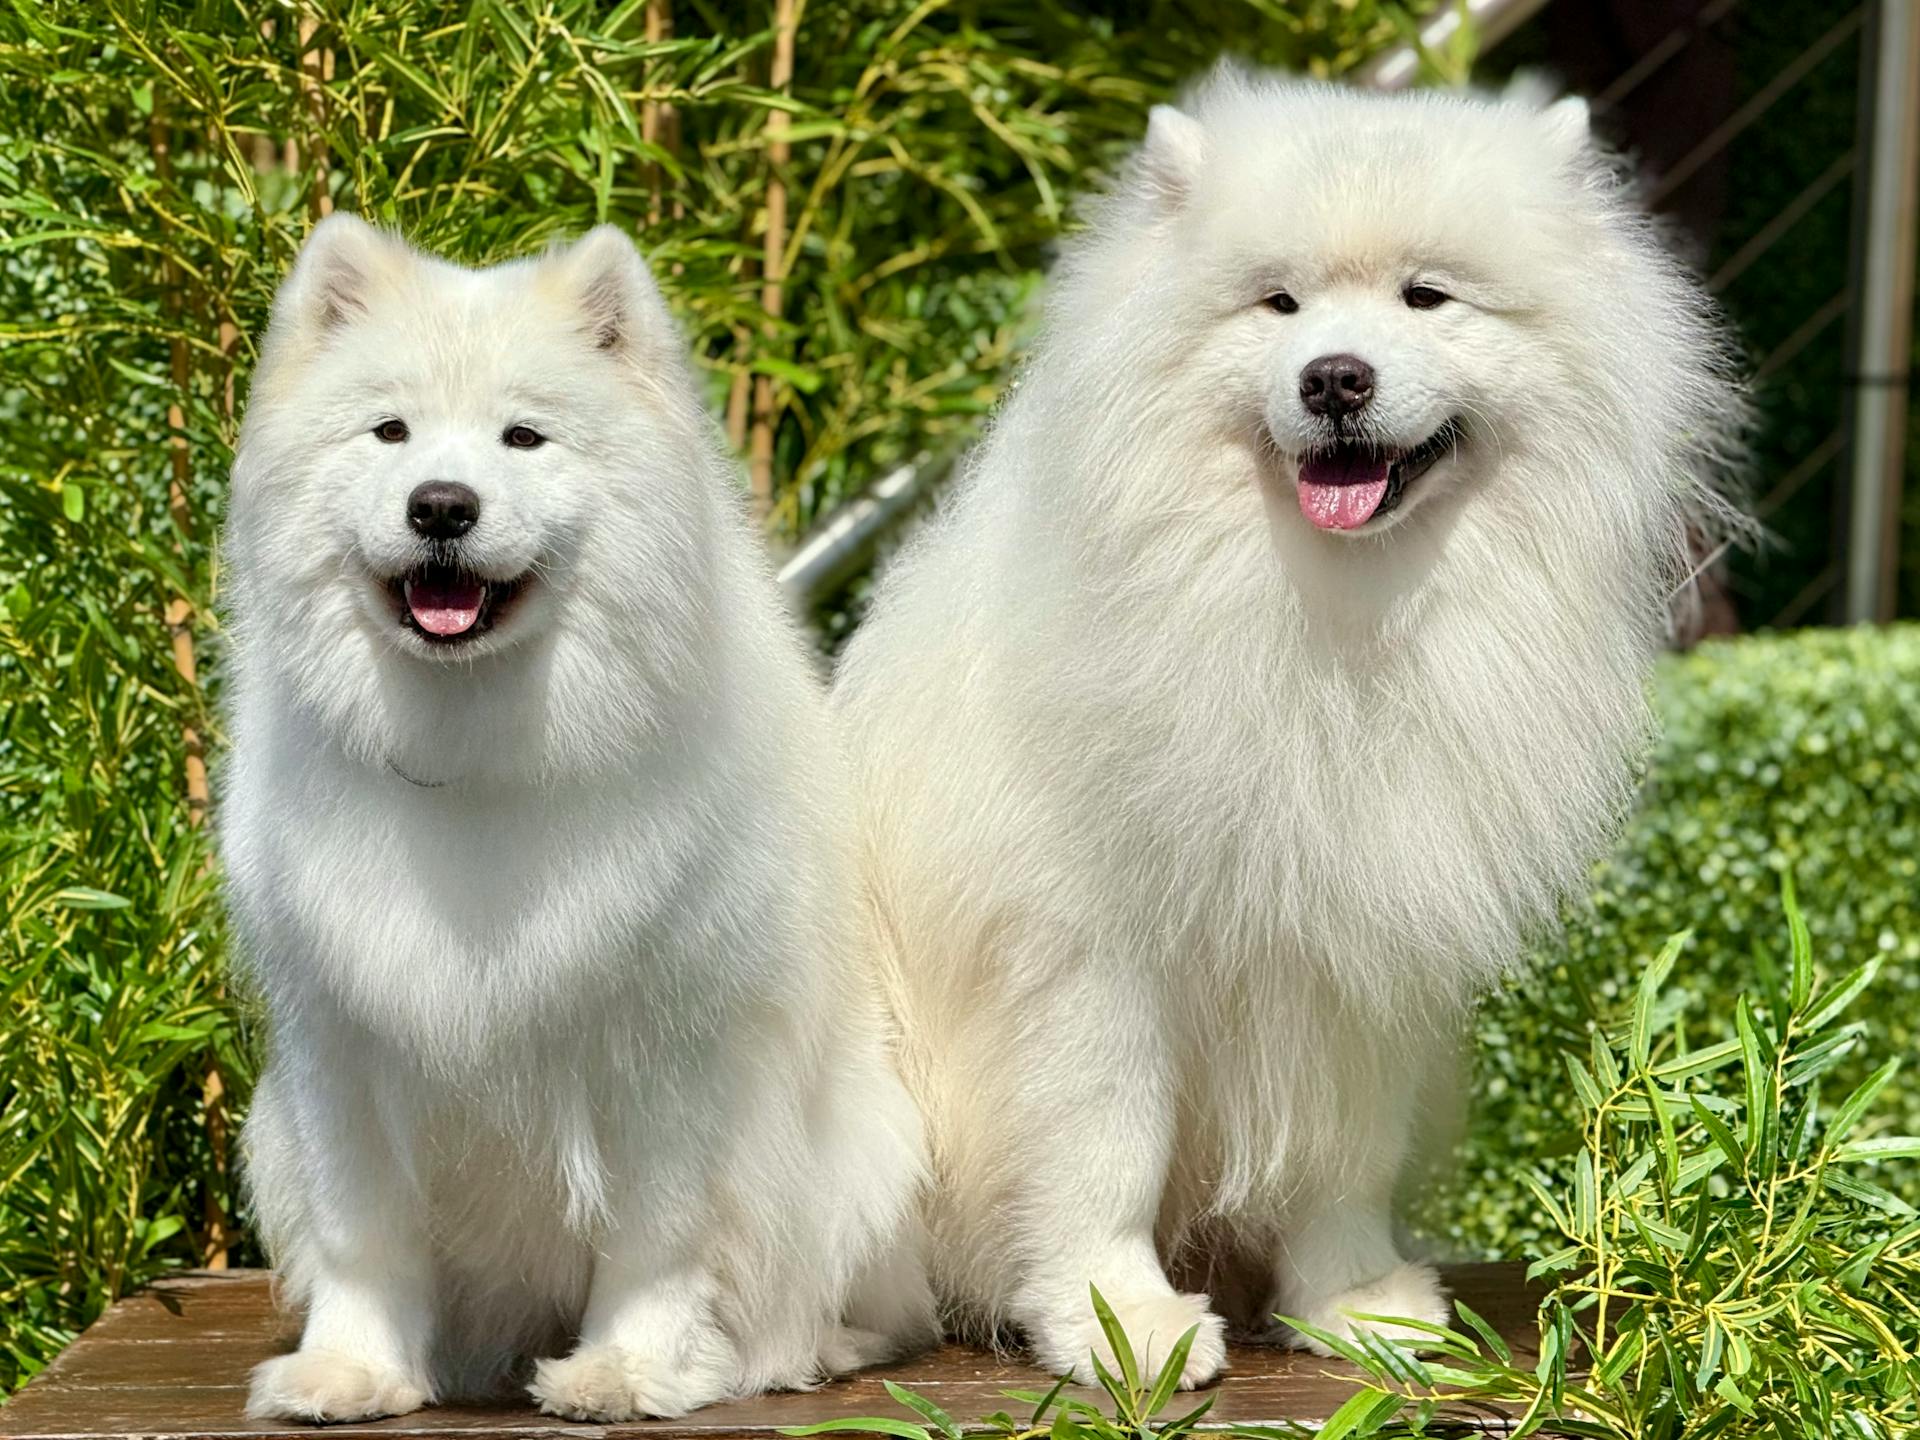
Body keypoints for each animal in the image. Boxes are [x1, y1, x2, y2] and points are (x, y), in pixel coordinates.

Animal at [220, 219, 933, 1428]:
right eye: (390, 430)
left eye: (524, 437)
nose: (441, 504)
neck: (474, 748)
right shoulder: (340, 1043)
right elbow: (365, 1236)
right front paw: (351, 1372)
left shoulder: (667, 1048)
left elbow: (657, 1241)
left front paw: (626, 1371)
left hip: (864, 1153)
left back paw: (796, 1351)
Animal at [833, 73, 1751, 1390]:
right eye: (1279, 303)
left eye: (1427, 296)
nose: (1334, 378)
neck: (1329, 614)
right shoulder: (1091, 950)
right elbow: (1105, 1148)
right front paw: (1119, 1321)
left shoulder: (1364, 945)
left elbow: (1343, 1159)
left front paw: (1356, 1303)